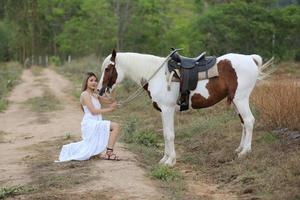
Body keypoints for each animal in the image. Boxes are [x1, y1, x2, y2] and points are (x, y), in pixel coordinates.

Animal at [97, 49, 274, 166]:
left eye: (108, 69)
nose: (99, 90)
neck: (158, 75)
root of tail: (251, 59)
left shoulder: (167, 110)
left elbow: (169, 135)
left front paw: (170, 161)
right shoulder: (163, 112)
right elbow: (165, 134)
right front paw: (165, 158)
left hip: (241, 99)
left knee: (249, 121)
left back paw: (245, 152)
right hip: (237, 101)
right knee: (244, 123)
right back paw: (239, 149)